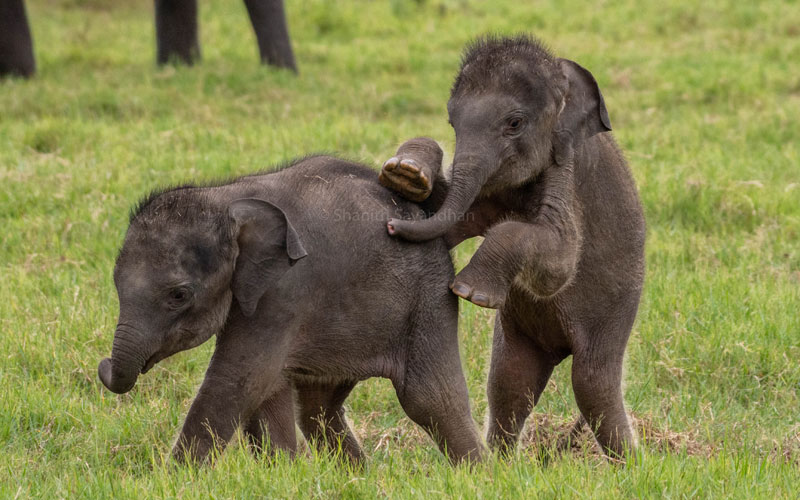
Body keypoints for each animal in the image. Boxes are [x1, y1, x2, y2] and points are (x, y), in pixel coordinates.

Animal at [100, 156, 488, 464]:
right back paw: (358, 476)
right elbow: (267, 384)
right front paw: (280, 471)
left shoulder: (285, 291)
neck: (225, 197)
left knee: (430, 400)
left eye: (179, 295)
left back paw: (477, 475)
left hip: (428, 300)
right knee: (317, 407)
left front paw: (176, 478)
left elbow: (242, 378)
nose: (104, 364)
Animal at [378, 35, 648, 460]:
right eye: (451, 123)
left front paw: (468, 292)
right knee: (510, 382)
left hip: (616, 310)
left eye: (515, 123)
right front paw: (406, 174)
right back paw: (505, 464)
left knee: (592, 384)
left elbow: (558, 264)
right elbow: (447, 214)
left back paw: (631, 466)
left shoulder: (567, 169)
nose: (391, 225)